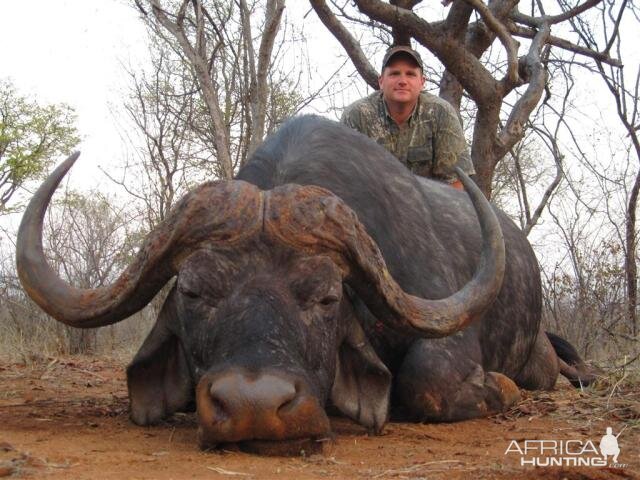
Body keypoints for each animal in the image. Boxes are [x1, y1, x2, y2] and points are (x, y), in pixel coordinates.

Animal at [17, 115, 592, 454]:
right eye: (194, 292)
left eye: (327, 297)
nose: (254, 406)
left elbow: (425, 381)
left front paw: (503, 388)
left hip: (537, 359)